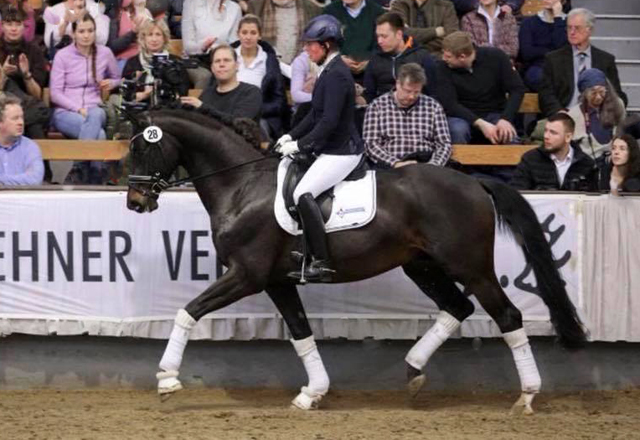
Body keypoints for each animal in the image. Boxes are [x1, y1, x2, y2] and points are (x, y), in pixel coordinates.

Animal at [125, 108, 584, 414]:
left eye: (143, 150)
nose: (134, 202)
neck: (242, 186)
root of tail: (474, 181)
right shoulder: (277, 280)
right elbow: (301, 333)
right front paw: (312, 393)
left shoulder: (246, 275)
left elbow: (188, 311)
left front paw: (167, 379)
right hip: (421, 265)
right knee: (458, 307)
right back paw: (414, 371)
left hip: (469, 266)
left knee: (507, 316)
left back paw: (526, 396)